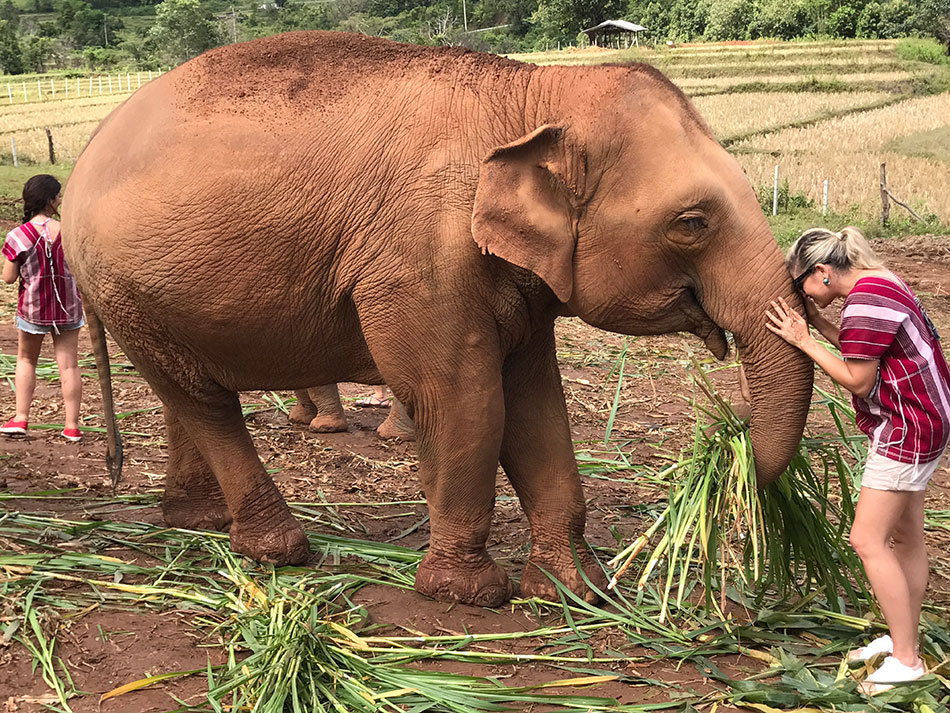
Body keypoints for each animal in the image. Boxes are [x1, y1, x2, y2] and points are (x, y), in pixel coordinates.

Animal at [64, 31, 813, 607]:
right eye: (692, 222)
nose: (727, 447)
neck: (534, 91)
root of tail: (86, 154)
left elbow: (537, 404)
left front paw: (577, 593)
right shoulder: (422, 252)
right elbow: (463, 399)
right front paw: (467, 595)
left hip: (140, 291)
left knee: (183, 393)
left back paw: (199, 520)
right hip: (119, 281)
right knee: (204, 400)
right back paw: (280, 550)